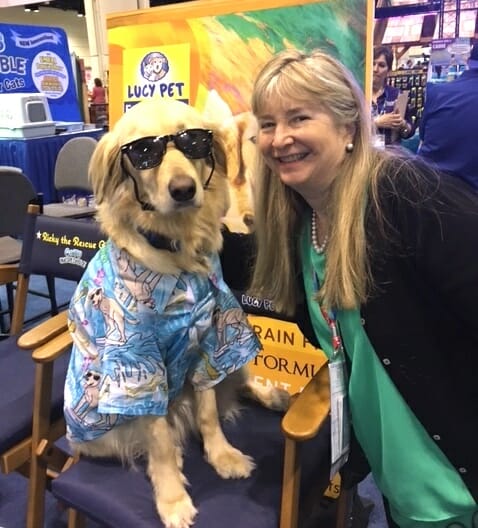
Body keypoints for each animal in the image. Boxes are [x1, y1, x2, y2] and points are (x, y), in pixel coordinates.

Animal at [63, 99, 288, 528]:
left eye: (193, 141)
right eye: (143, 152)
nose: (183, 190)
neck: (175, 249)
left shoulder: (209, 340)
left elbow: (209, 412)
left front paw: (223, 455)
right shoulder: (140, 364)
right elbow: (160, 440)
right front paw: (172, 499)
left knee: (234, 387)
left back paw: (273, 396)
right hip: (98, 428)